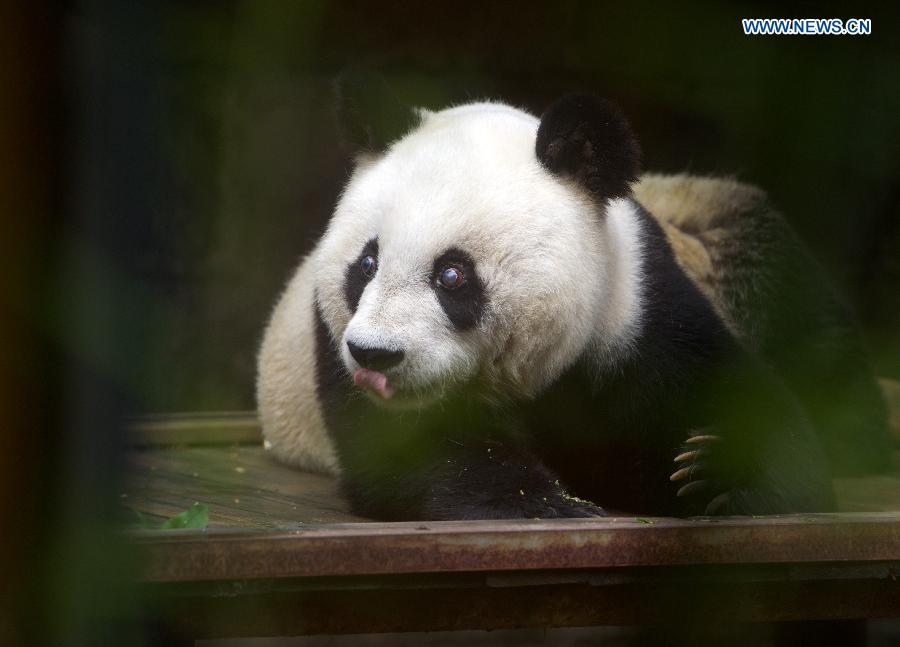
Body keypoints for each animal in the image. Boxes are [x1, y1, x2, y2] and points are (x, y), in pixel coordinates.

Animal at [256, 92, 888, 520]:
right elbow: (412, 451)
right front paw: (543, 502)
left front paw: (713, 473)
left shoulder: (636, 307)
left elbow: (746, 402)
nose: (374, 356)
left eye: (452, 275)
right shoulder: (331, 341)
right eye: (365, 265)